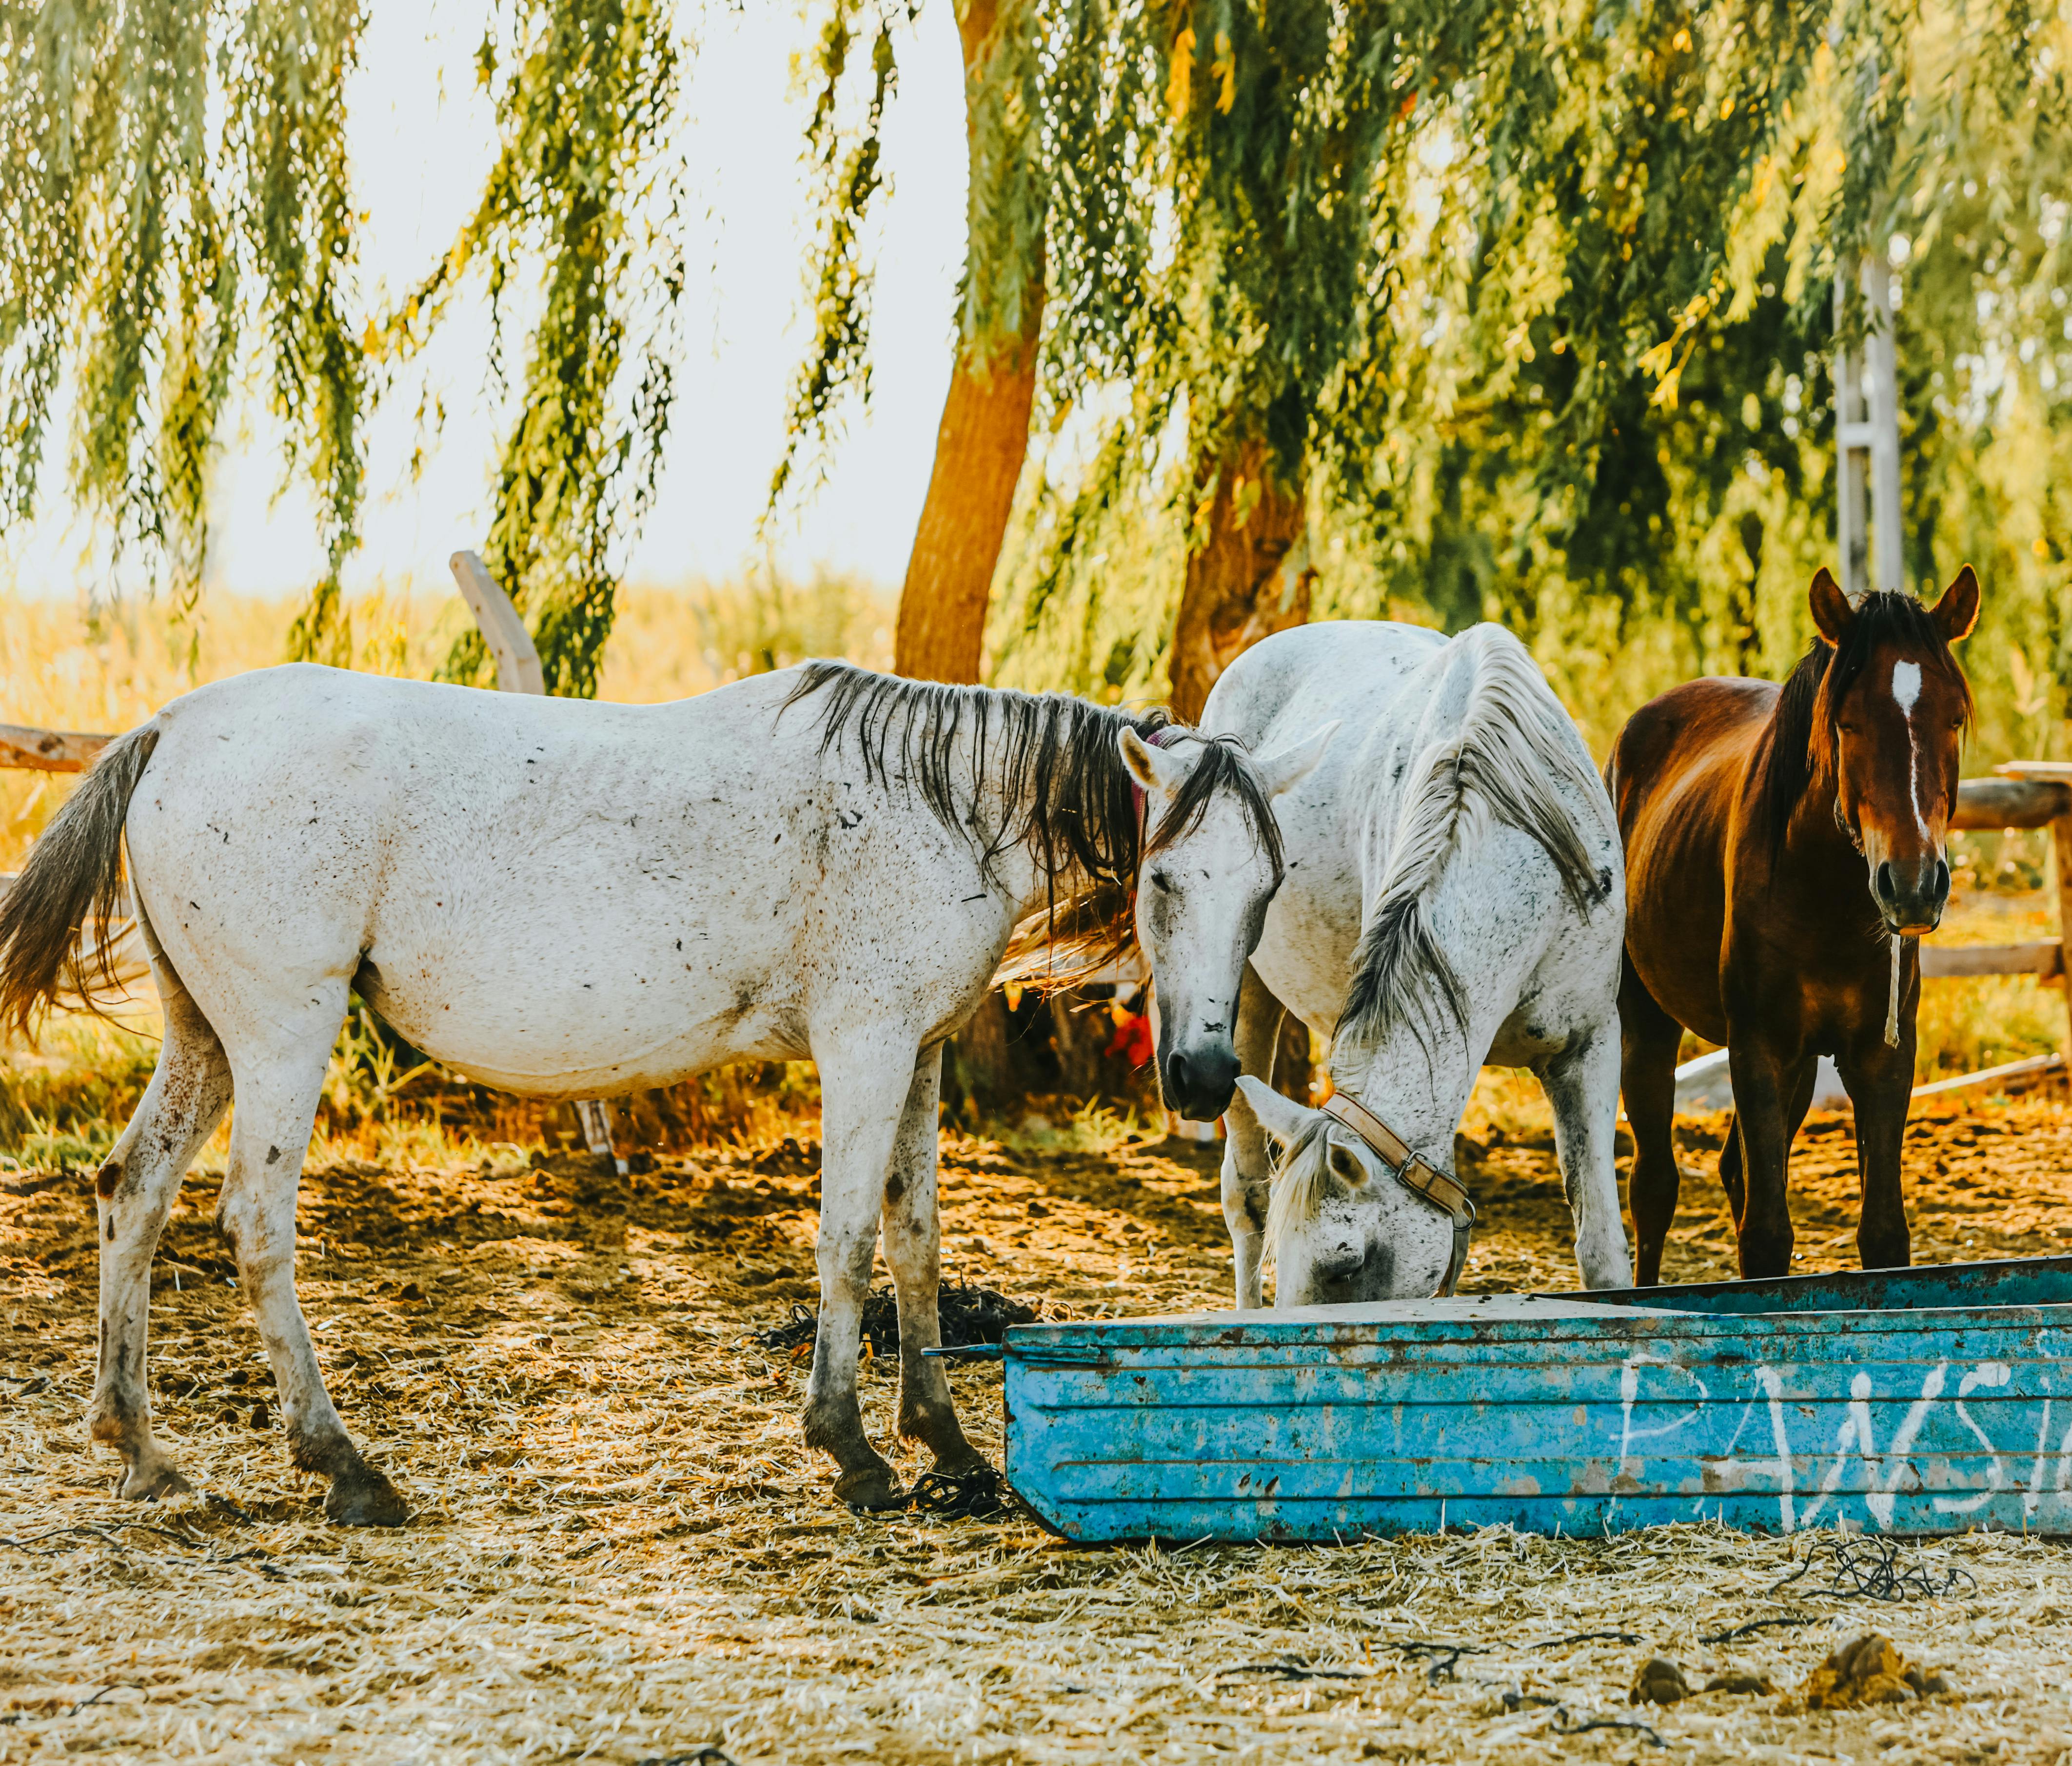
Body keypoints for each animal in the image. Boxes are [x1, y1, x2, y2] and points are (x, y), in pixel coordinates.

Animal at [0, 660, 1327, 1522]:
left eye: (1268, 886)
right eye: (1163, 879)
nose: (1207, 1075)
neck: (936, 804)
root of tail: (173, 725)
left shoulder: (918, 1053)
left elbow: (916, 1243)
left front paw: (946, 1443)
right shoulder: (864, 1045)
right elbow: (849, 1239)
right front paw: (850, 1448)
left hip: (208, 1038)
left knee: (131, 1193)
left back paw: (141, 1447)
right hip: (283, 1032)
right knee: (252, 1225)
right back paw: (344, 1465)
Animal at [1609, 568, 1980, 1284]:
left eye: (1953, 718)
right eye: (1848, 721)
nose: (1914, 884)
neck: (1827, 897)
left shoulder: (1881, 1057)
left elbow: (1883, 1234)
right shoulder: (1758, 1047)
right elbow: (1765, 1236)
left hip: (1804, 1064)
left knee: (1732, 1170)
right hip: (1647, 1024)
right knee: (1654, 1185)